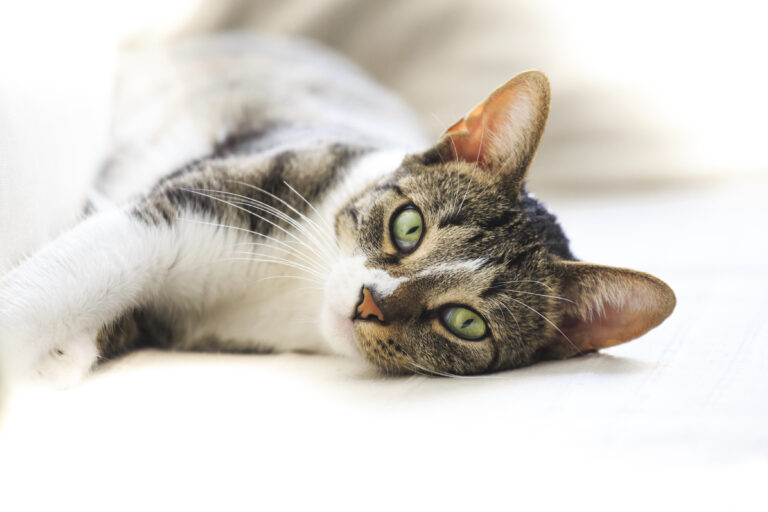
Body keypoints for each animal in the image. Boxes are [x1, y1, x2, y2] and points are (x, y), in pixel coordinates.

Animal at [0, 34, 672, 386]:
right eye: (408, 226)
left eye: (466, 322)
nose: (370, 301)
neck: (294, 288)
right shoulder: (203, 198)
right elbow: (63, 278)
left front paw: (61, 354)